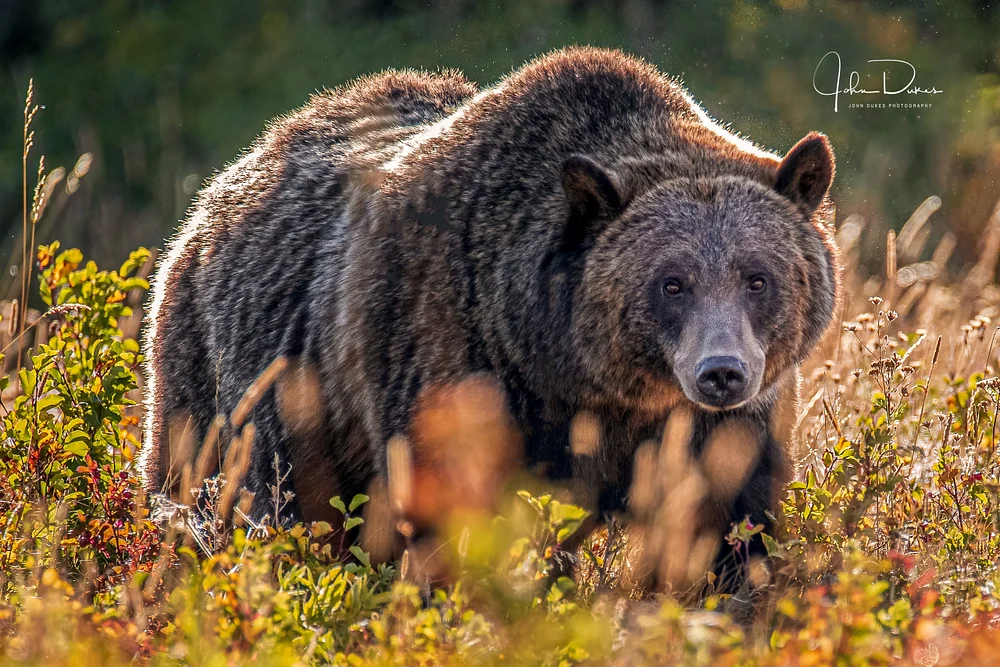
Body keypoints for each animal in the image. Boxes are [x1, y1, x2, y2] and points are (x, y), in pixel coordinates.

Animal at [140, 47, 838, 587]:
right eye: (672, 283)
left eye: (757, 277)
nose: (721, 372)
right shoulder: (446, 351)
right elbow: (444, 515)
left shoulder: (714, 432)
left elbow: (727, 531)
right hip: (242, 380)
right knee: (239, 494)